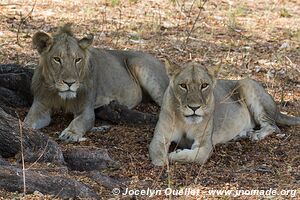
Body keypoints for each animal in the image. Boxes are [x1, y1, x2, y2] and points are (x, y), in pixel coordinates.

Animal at [24, 24, 169, 141]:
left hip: (143, 68)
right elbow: (29, 120)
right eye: (57, 59)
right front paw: (24, 129)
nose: (70, 83)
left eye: (78, 59)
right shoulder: (40, 105)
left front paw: (70, 133)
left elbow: (79, 122)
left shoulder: (86, 110)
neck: (60, 96)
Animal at [149, 61, 298, 166]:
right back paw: (243, 134)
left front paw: (174, 154)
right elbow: (158, 156)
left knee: (273, 126)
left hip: (247, 83)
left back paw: (256, 135)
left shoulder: (205, 144)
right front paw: (165, 161)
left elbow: (195, 156)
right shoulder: (159, 137)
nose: (194, 107)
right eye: (183, 86)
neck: (186, 122)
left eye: (204, 85)